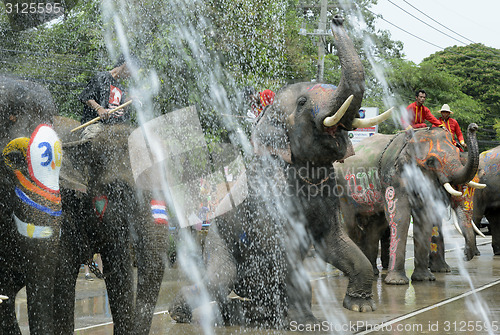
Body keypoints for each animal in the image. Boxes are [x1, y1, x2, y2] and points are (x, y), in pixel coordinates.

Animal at [168, 15, 394, 328]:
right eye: (302, 103)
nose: (337, 18)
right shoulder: (270, 196)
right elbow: (283, 251)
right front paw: (307, 324)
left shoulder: (330, 193)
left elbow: (333, 243)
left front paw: (361, 308)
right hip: (216, 240)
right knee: (220, 279)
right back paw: (183, 314)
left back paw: (253, 314)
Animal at [336, 124, 480, 286]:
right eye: (430, 161)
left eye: (457, 151)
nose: (473, 127)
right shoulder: (392, 178)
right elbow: (400, 217)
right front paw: (397, 282)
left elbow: (425, 218)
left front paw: (425, 279)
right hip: (342, 192)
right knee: (351, 226)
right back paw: (352, 274)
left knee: (374, 227)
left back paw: (372, 272)